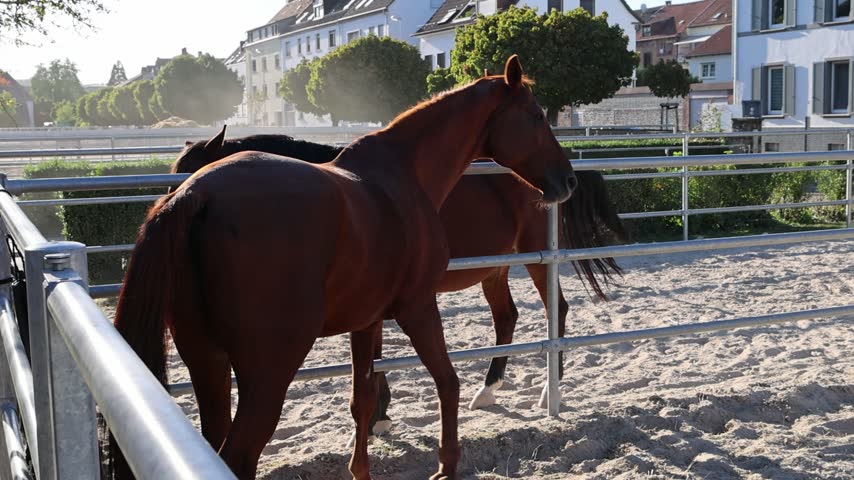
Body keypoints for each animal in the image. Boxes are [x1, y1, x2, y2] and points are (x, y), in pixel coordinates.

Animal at [108, 55, 576, 480]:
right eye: (537, 116)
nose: (567, 180)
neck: (403, 174)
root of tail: (196, 196)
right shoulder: (417, 308)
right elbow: (447, 381)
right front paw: (446, 466)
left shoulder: (366, 321)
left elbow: (362, 398)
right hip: (267, 373)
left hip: (207, 362)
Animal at [171, 129, 627, 439]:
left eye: (192, 175)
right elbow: (372, 351)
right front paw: (380, 413)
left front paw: (378, 415)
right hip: (495, 268)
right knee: (507, 317)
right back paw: (488, 390)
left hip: (535, 255)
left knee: (556, 310)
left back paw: (549, 392)